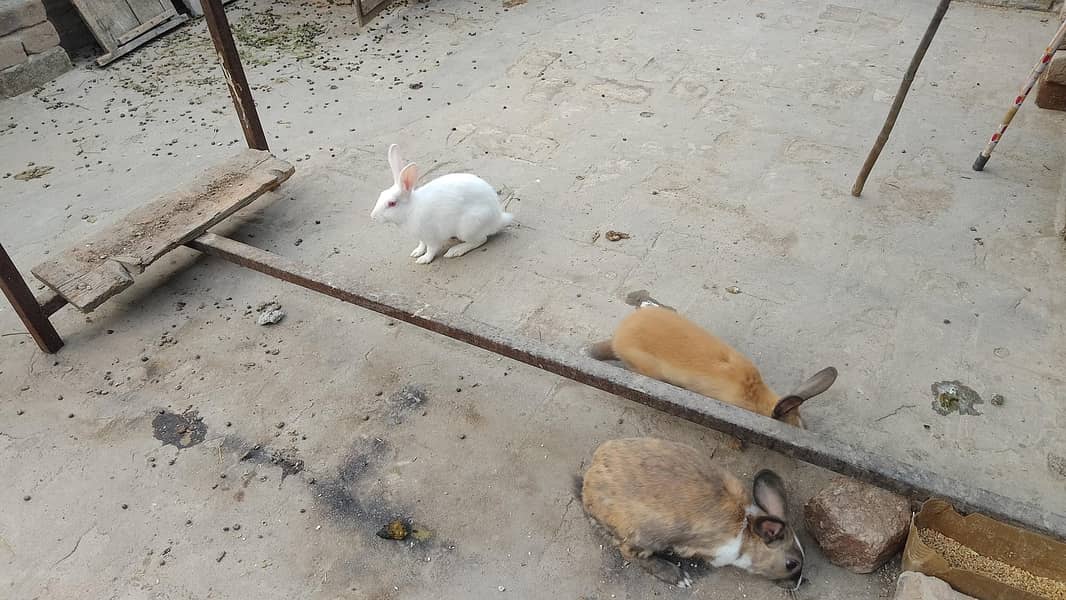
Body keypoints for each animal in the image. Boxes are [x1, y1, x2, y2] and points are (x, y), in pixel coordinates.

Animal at [370, 144, 513, 264]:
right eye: (381, 194)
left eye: (392, 203)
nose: (373, 216)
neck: (410, 210)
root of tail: (498, 219)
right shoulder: (421, 237)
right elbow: (421, 245)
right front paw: (416, 252)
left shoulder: (431, 237)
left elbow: (431, 250)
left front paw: (423, 260)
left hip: (468, 227)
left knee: (480, 240)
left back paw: (455, 251)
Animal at [579, 437, 805, 591]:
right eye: (791, 564)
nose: (797, 584)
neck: (747, 529)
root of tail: (589, 481)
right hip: (641, 537)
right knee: (630, 554)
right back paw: (678, 576)